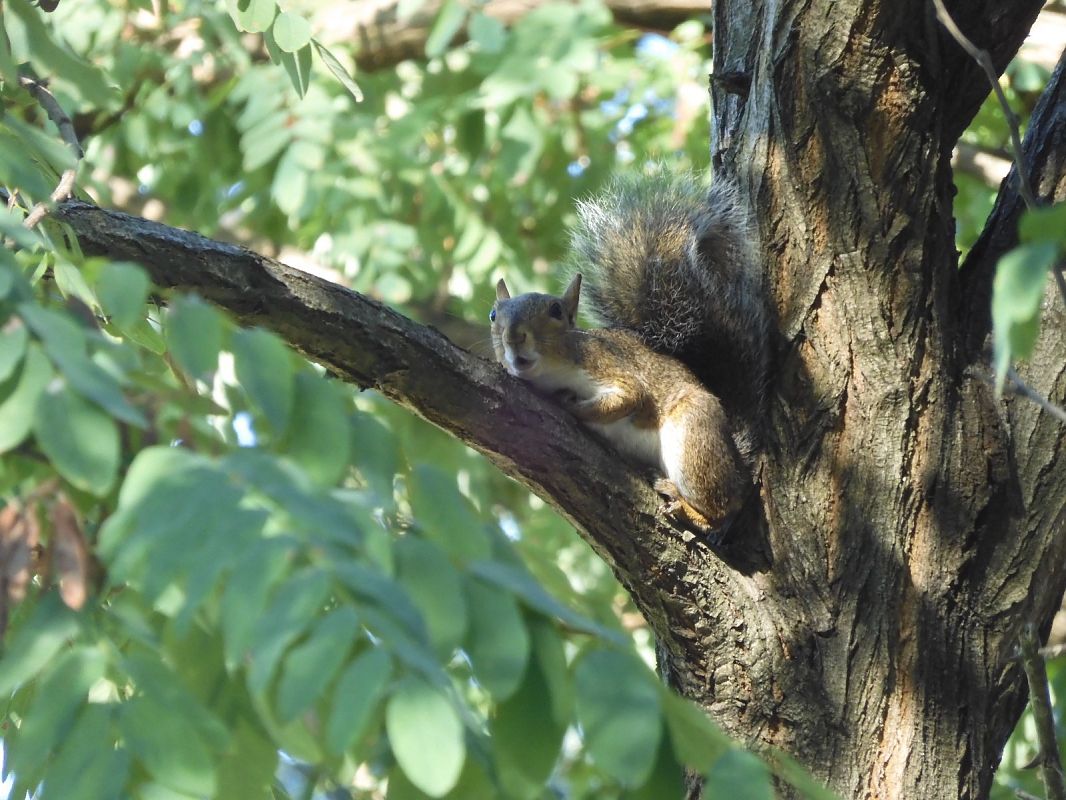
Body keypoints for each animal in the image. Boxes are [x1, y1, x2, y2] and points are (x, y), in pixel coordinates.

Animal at [490, 170, 768, 534]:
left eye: (555, 311)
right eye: (493, 315)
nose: (513, 336)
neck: (553, 371)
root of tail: (738, 464)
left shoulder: (607, 365)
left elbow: (628, 397)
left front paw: (572, 406)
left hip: (693, 439)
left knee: (720, 509)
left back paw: (682, 504)